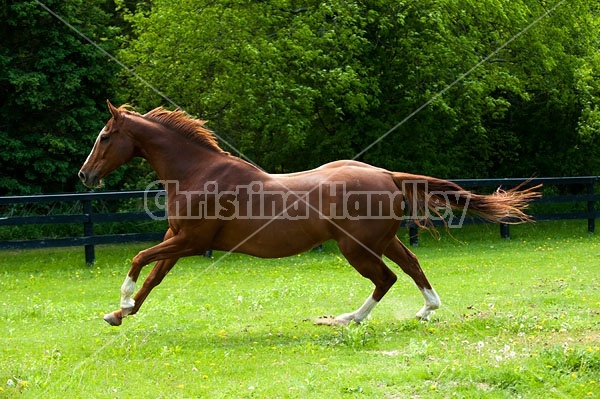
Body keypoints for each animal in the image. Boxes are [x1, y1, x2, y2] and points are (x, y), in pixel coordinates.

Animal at [77, 101, 540, 328]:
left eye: (104, 136)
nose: (84, 174)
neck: (197, 172)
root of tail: (387, 175)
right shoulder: (178, 242)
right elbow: (153, 277)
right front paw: (120, 313)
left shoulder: (191, 242)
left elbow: (138, 259)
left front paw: (121, 302)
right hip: (382, 240)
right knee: (410, 265)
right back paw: (426, 310)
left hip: (355, 247)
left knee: (386, 278)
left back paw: (348, 319)